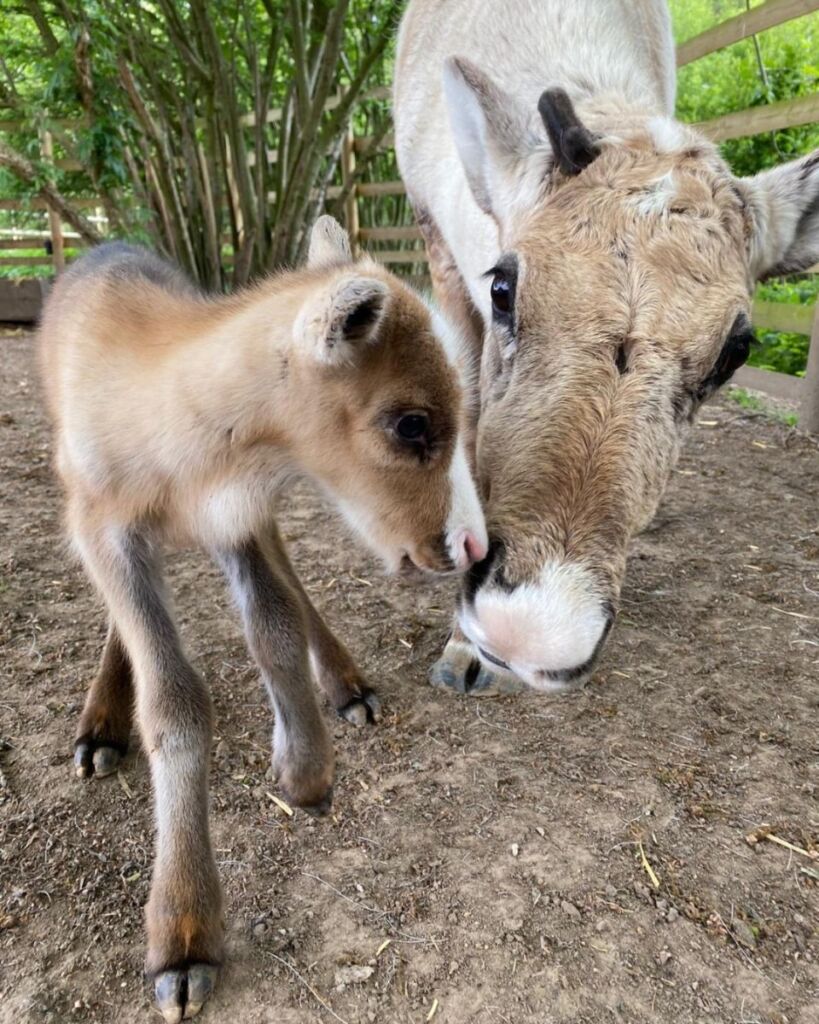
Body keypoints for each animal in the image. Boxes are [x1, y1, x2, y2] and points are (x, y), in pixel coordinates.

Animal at [38, 215, 487, 1023]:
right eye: (411, 424)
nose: (471, 546)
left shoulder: (236, 514)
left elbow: (274, 628)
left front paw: (304, 772)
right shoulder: (103, 529)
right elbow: (173, 697)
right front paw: (183, 939)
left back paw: (346, 685)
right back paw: (101, 726)